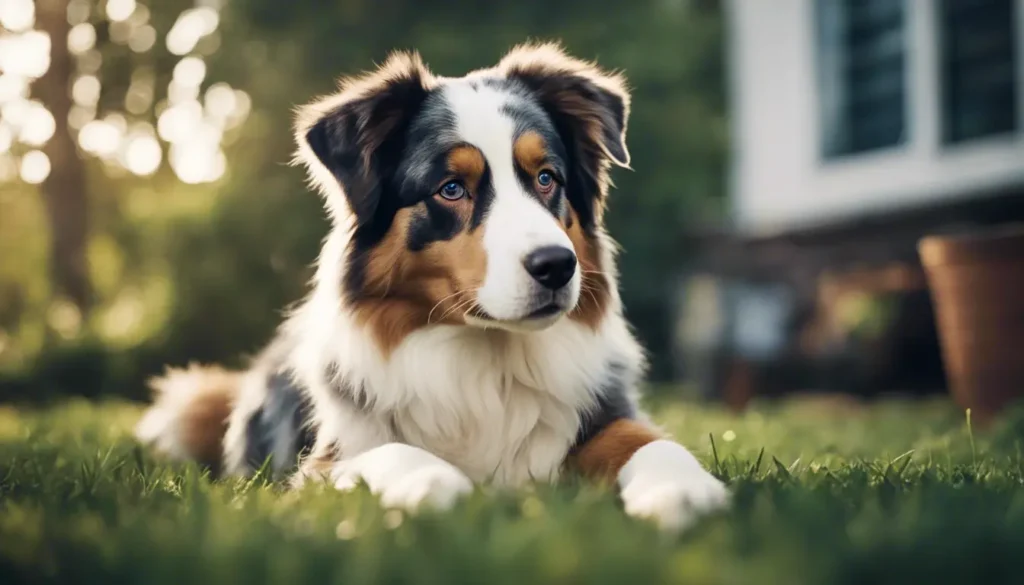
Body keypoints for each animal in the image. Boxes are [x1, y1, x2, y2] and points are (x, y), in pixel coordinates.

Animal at [134, 41, 729, 532]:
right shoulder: (325, 462)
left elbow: (651, 443)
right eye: (451, 189)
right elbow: (393, 455)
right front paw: (440, 487)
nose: (557, 266)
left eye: (546, 179)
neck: (488, 359)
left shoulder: (605, 414)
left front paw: (686, 491)